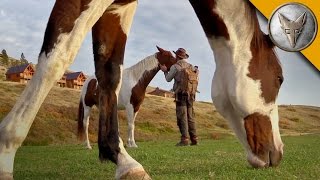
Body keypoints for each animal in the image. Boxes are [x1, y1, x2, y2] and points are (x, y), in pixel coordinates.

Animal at [0, 0, 284, 179]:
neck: (136, 79)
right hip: (87, 108)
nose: (277, 153)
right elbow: (57, 56)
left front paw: (125, 154)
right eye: (280, 79)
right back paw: (88, 147)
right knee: (86, 123)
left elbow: (115, 85)